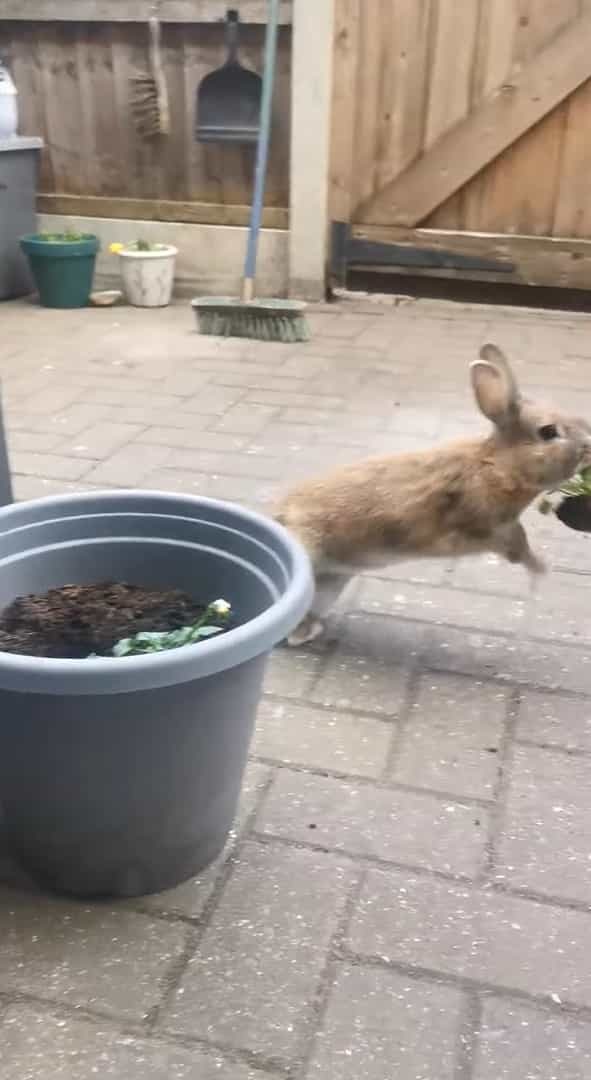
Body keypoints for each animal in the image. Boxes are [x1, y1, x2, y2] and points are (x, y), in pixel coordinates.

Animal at [276, 343, 591, 639]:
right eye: (548, 432)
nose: (588, 446)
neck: (496, 466)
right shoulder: (491, 528)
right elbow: (519, 548)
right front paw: (541, 570)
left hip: (332, 582)